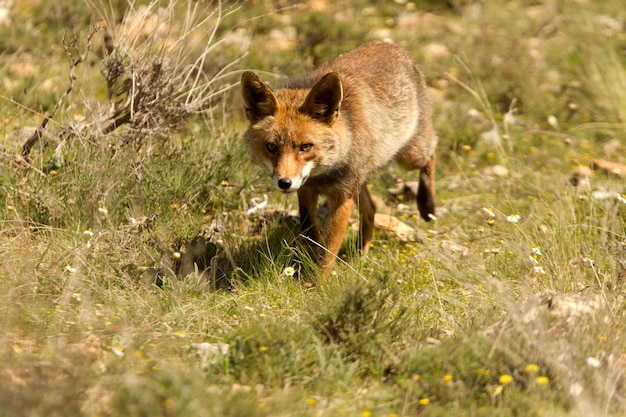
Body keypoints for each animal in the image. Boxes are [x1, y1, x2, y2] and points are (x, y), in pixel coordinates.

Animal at [241, 41, 436, 276]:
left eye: (305, 147)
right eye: (271, 147)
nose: (284, 183)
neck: (323, 174)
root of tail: (390, 44)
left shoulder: (343, 196)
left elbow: (328, 248)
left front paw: (317, 281)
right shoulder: (307, 189)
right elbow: (309, 230)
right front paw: (310, 255)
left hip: (410, 156)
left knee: (432, 152)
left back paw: (427, 205)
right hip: (360, 179)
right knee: (371, 210)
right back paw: (360, 253)